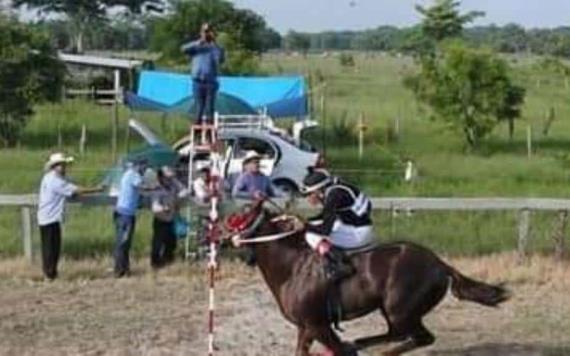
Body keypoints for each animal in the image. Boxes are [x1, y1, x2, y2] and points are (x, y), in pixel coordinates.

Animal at [223, 206, 510, 356]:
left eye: (239, 217)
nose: (216, 232)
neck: (292, 268)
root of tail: (440, 264)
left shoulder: (317, 325)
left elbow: (338, 349)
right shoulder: (306, 327)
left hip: (400, 310)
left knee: (420, 337)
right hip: (393, 311)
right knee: (397, 334)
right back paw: (363, 343)